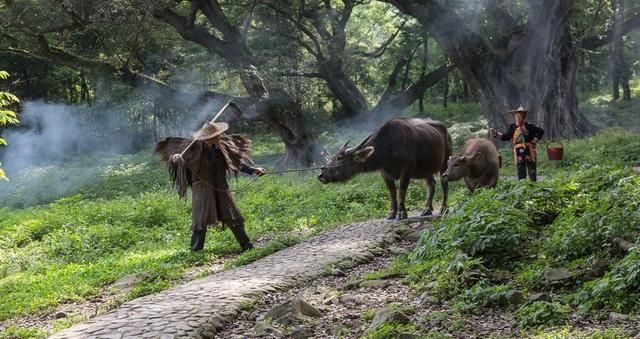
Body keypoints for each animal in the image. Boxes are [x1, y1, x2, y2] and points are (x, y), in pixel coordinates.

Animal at [318, 118, 450, 220]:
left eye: (340, 158)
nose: (321, 174)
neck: (389, 147)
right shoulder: (384, 173)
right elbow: (392, 192)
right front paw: (391, 213)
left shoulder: (406, 171)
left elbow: (401, 191)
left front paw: (401, 213)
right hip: (426, 170)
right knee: (431, 185)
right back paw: (427, 209)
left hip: (445, 163)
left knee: (444, 183)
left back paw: (444, 208)